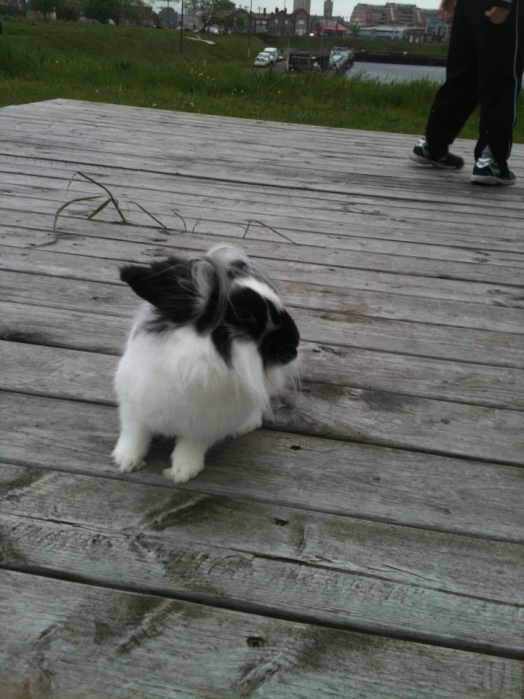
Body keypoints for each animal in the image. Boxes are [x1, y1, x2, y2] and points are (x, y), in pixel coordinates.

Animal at [113, 244, 300, 484]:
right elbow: (134, 434)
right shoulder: (133, 406)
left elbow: (190, 447)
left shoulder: (205, 425)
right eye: (244, 314)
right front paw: (125, 461)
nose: (294, 343)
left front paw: (181, 473)